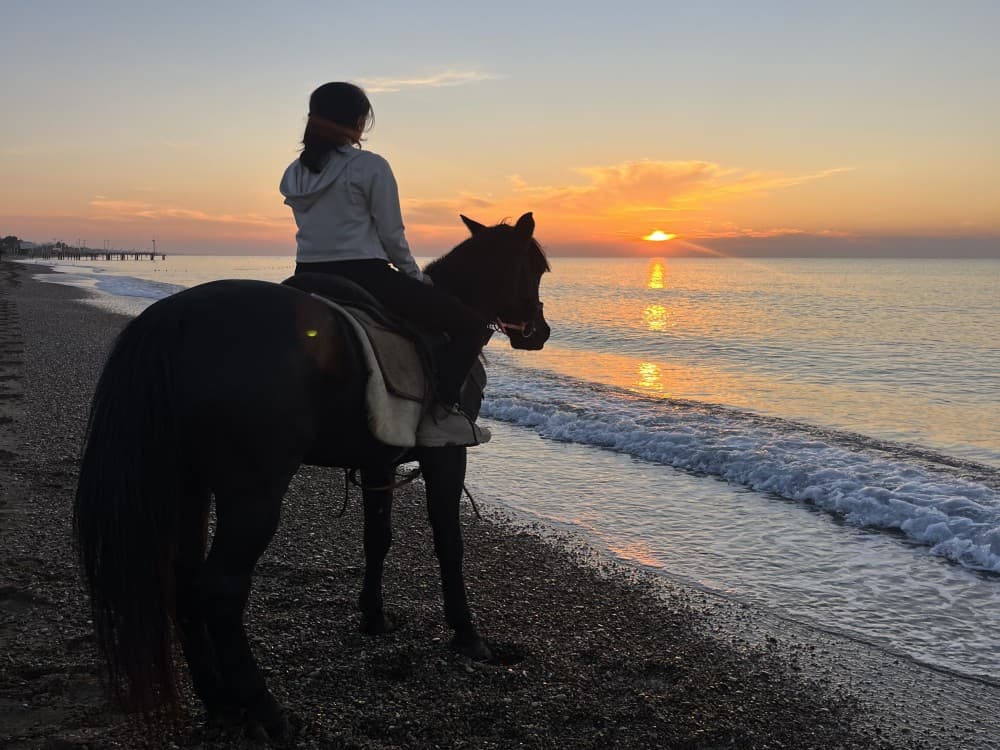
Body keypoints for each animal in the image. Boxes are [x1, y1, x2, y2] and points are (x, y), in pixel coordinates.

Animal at [73, 212, 550, 741]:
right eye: (534, 270)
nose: (540, 331)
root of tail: (174, 321)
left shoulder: (378, 460)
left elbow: (377, 538)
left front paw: (373, 615)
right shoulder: (446, 456)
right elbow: (449, 543)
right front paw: (467, 633)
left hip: (187, 484)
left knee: (182, 580)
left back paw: (219, 701)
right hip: (253, 493)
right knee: (220, 588)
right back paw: (264, 709)